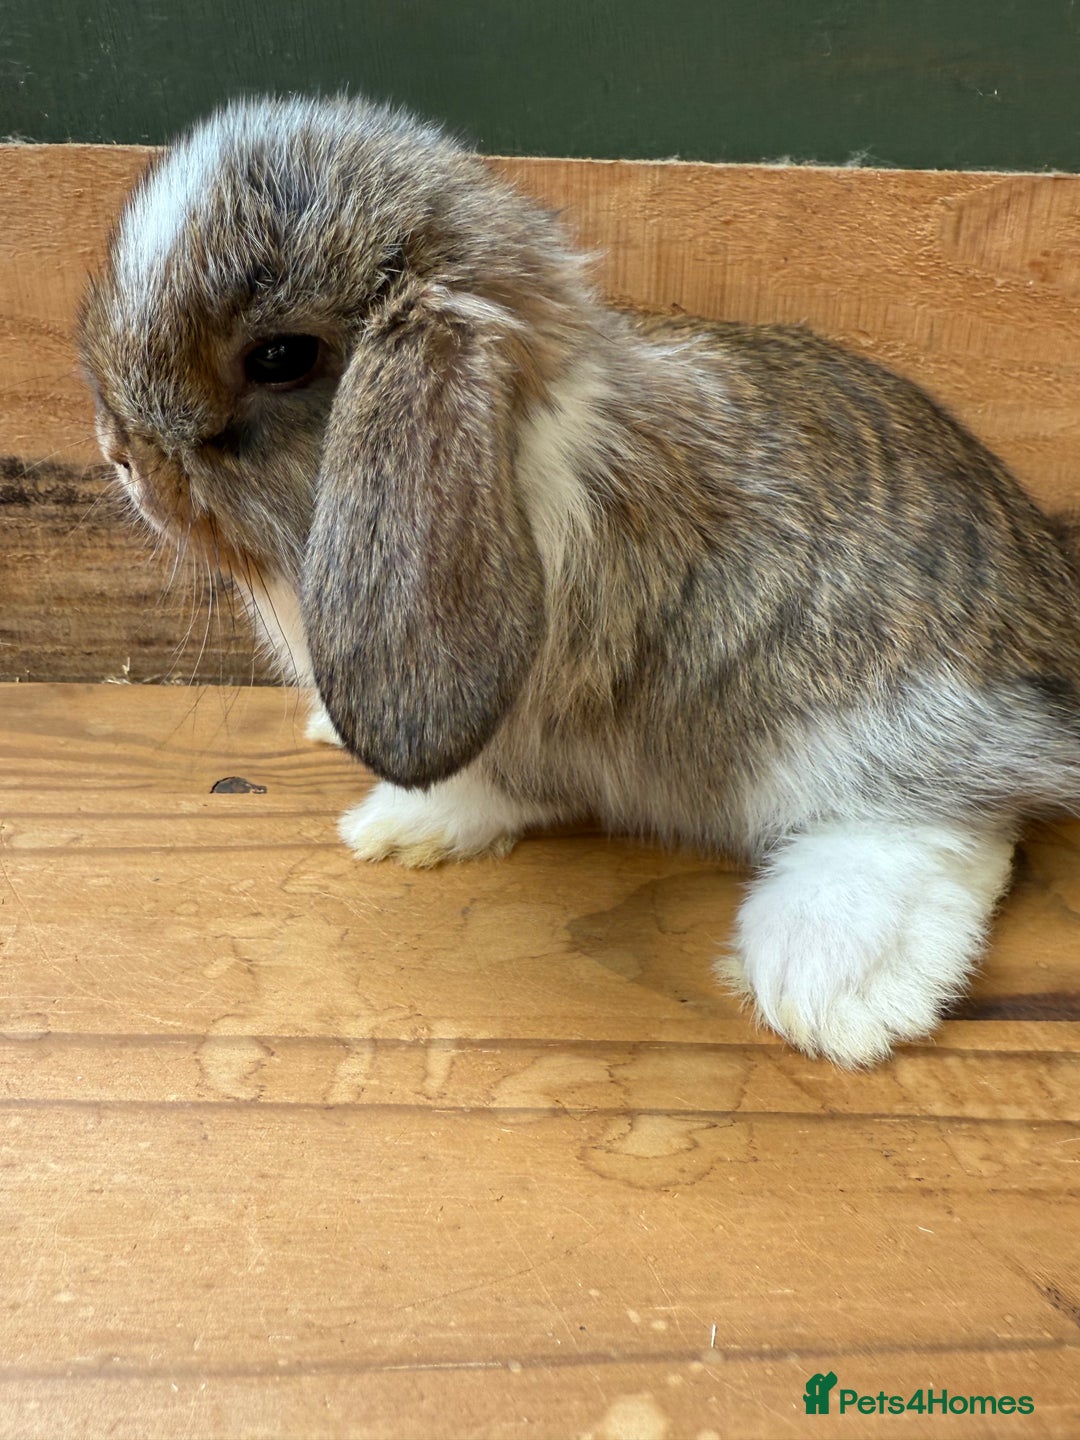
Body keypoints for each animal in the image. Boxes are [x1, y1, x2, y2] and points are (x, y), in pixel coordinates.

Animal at [78, 95, 1080, 1067]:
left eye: (280, 357)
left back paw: (830, 989)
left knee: (949, 826)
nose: (122, 455)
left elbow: (488, 786)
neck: (521, 442)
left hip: (857, 722)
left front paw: (395, 825)